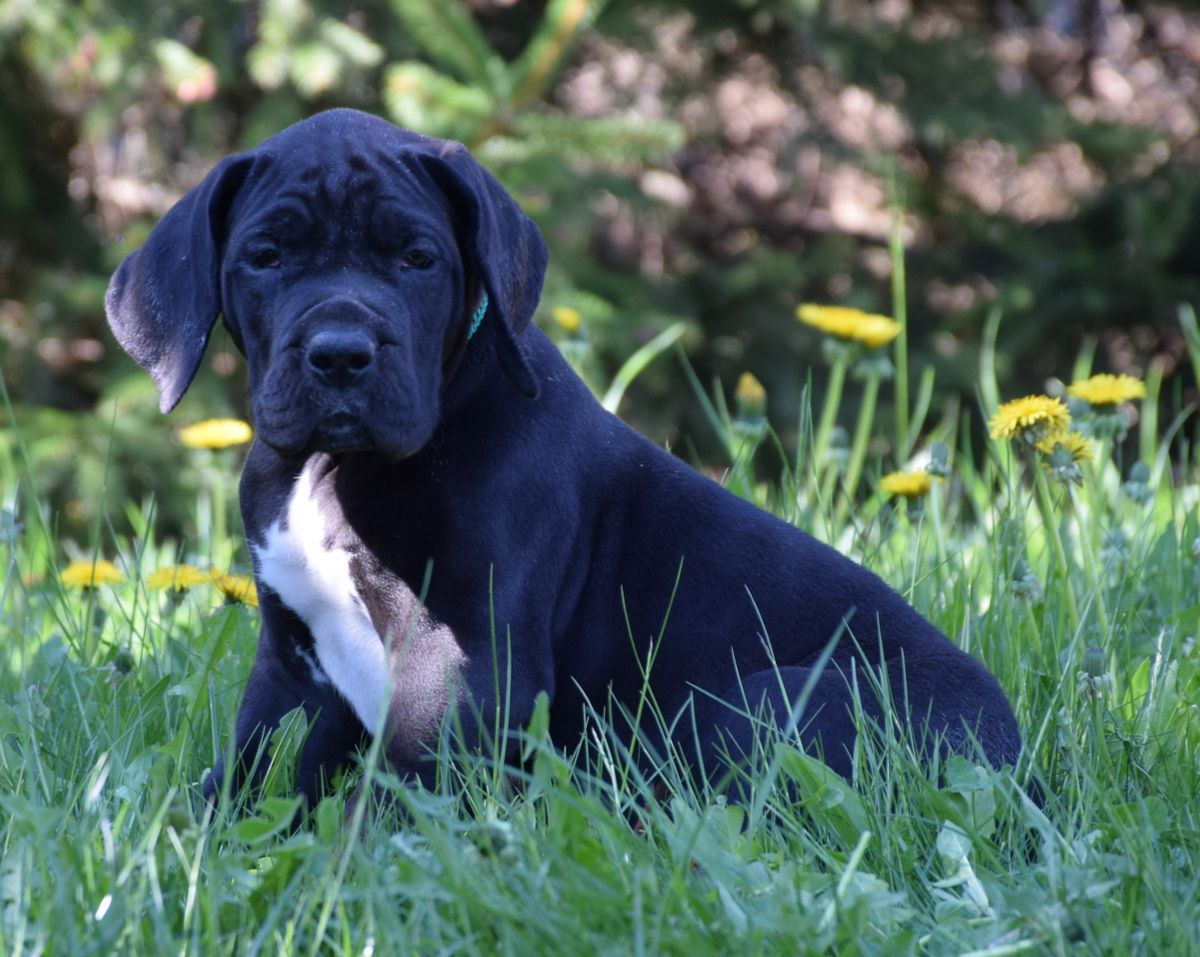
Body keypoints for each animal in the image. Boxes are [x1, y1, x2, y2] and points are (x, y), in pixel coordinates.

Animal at [105, 109, 1023, 806]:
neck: (332, 471)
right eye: (265, 257)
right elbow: (245, 771)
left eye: (416, 257)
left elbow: (402, 788)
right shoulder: (288, 662)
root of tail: (1023, 771)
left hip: (752, 703)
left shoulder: (466, 660)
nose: (339, 353)